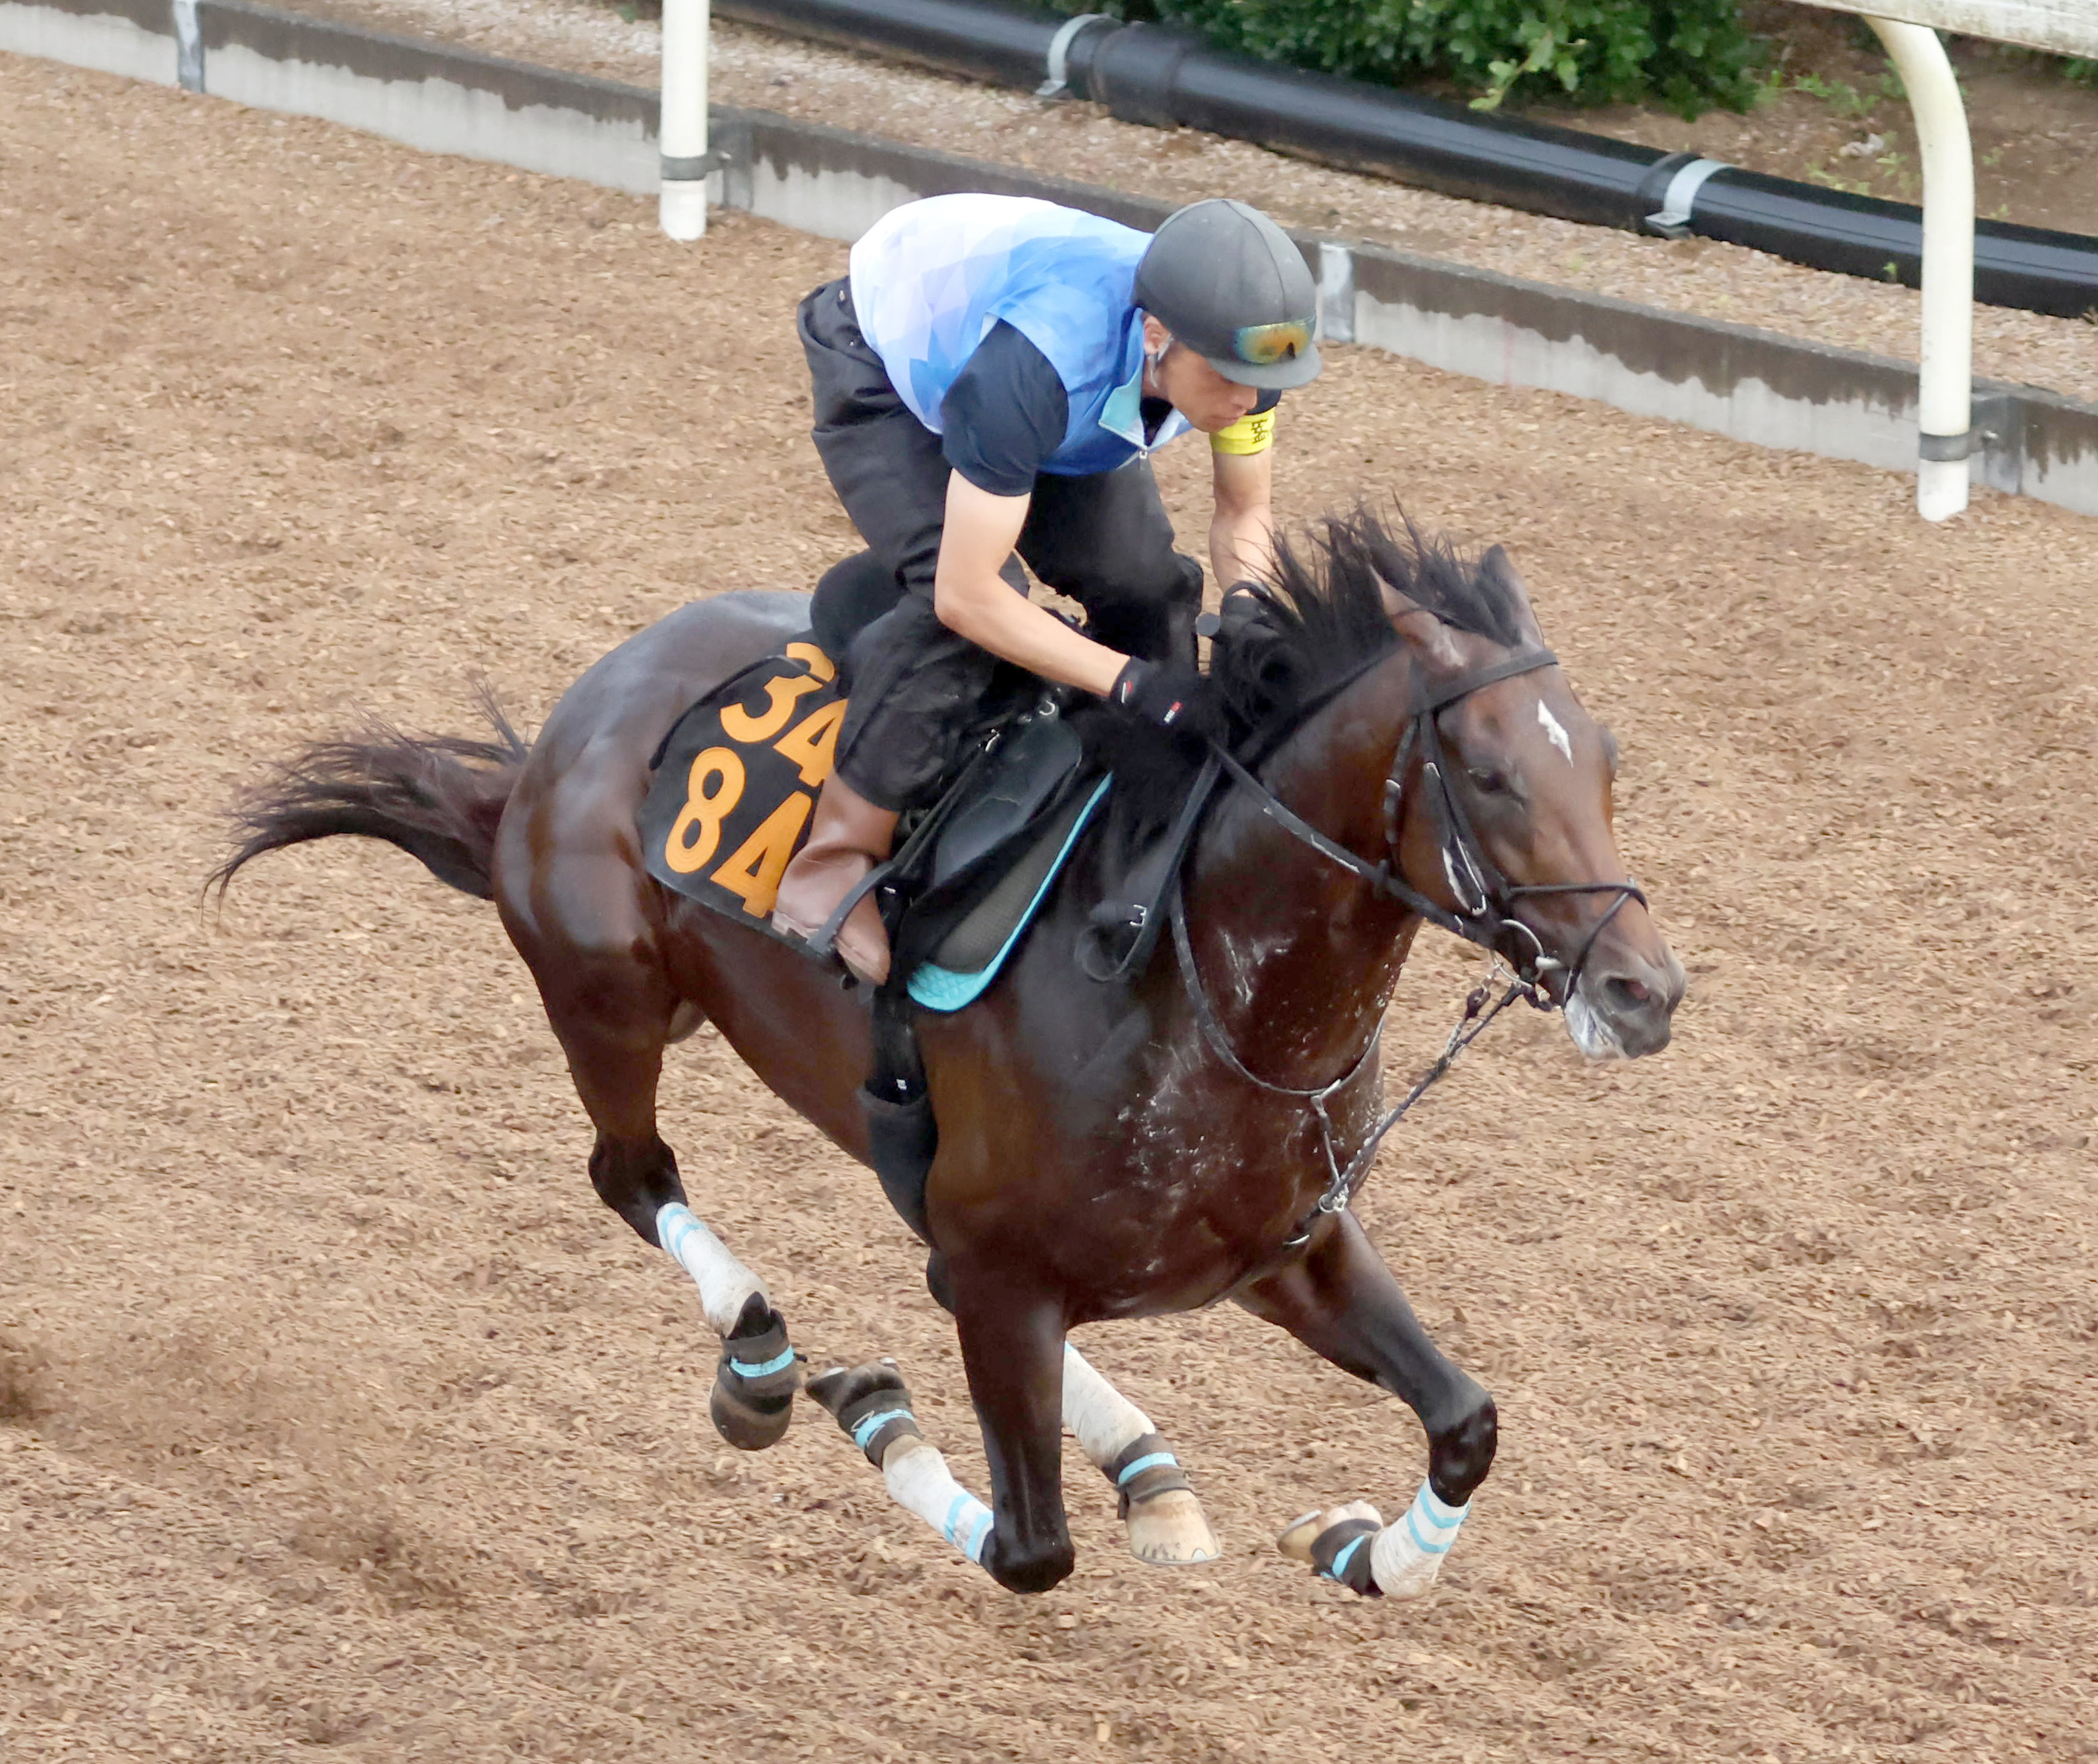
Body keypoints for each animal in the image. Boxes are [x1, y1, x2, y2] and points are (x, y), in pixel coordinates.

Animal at [212, 508, 1683, 1598]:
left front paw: (1355, 1547)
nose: (1644, 988)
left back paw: (1144, 1463)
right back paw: (760, 1361)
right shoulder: (1004, 1271)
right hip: (608, 997)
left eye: (1606, 761)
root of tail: (577, 720)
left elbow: (1465, 1421)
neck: (1200, 983)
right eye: (1487, 773)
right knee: (633, 1177)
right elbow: (1030, 1547)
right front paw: (871, 1409)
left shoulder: (1286, 1252)